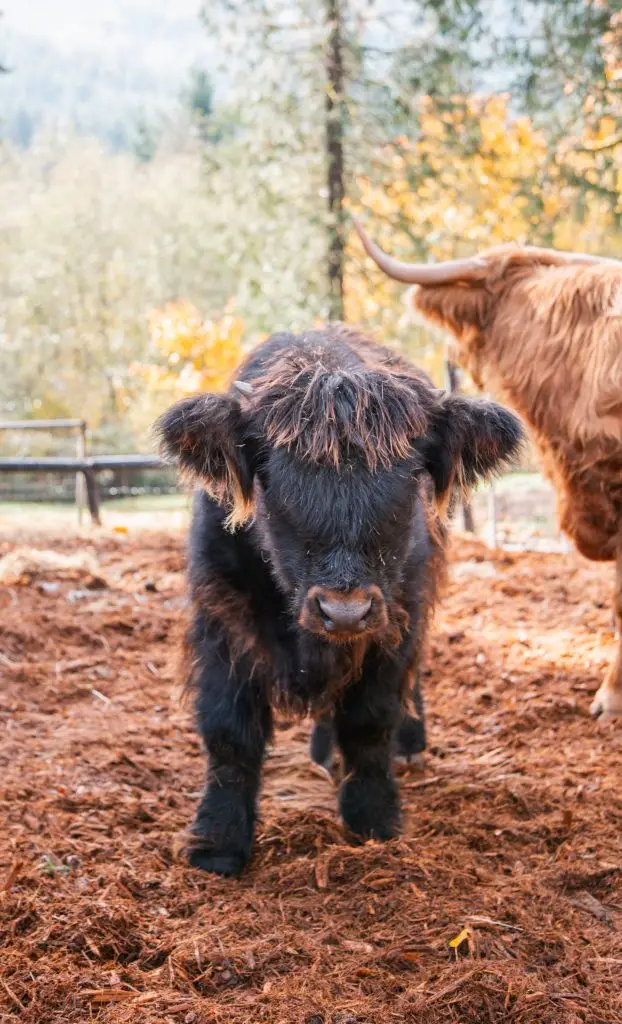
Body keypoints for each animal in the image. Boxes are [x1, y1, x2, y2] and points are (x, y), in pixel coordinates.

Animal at [157, 326, 523, 876]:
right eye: (276, 481)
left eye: (408, 478)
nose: (344, 609)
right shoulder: (221, 615)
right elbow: (229, 732)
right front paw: (216, 842)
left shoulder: (397, 616)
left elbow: (369, 721)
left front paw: (373, 818)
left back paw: (407, 744)